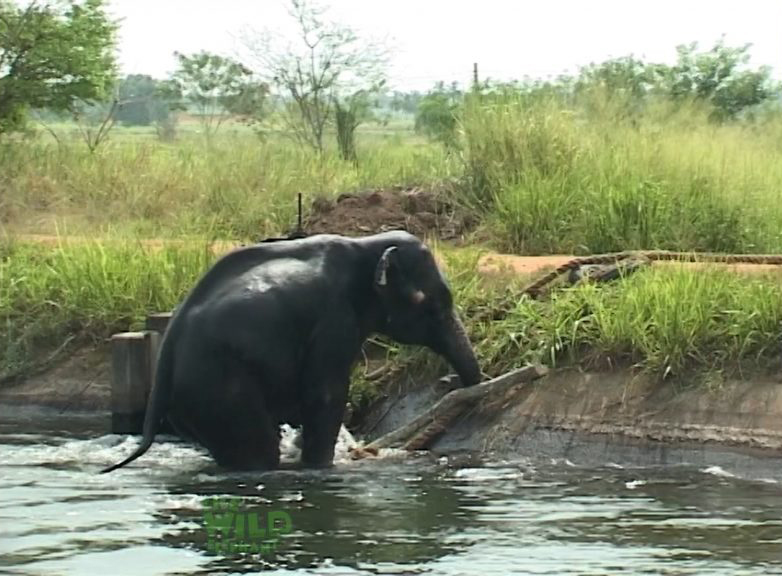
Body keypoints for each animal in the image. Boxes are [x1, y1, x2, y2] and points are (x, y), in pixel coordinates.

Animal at [101, 232, 480, 474]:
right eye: (429, 306)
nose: (449, 382)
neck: (365, 246)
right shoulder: (333, 320)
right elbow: (326, 394)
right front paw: (320, 468)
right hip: (215, 385)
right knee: (256, 447)